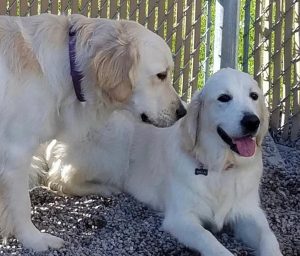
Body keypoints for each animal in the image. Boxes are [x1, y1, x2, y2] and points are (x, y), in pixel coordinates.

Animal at [0, 13, 184, 250]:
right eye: (161, 75)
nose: (182, 111)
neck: (67, 65)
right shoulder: (16, 154)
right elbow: (22, 206)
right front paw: (35, 240)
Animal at [34, 68, 282, 256]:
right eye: (224, 98)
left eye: (254, 96)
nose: (252, 121)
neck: (219, 168)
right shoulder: (181, 218)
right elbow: (210, 240)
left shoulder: (249, 212)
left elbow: (270, 238)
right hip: (115, 144)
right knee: (58, 178)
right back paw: (105, 188)